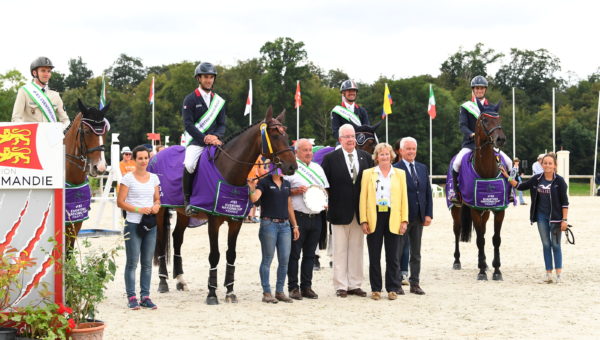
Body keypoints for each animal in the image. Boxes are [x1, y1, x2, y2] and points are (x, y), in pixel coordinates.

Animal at [151, 107, 296, 306]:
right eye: (274, 135)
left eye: (286, 135)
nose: (292, 166)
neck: (230, 172)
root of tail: (157, 155)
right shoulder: (213, 222)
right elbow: (215, 255)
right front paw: (212, 294)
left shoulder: (236, 222)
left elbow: (231, 254)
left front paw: (230, 292)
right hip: (160, 210)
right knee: (160, 240)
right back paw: (163, 282)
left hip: (183, 214)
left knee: (177, 238)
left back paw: (181, 280)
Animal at [448, 101, 508, 282]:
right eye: (485, 120)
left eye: (499, 118)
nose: (500, 139)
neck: (486, 170)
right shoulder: (474, 209)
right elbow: (480, 240)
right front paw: (481, 271)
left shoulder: (499, 209)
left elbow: (495, 239)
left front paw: (496, 270)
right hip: (456, 209)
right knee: (457, 231)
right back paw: (457, 261)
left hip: (485, 212)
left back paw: (486, 264)